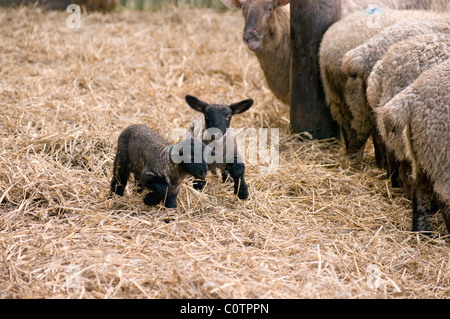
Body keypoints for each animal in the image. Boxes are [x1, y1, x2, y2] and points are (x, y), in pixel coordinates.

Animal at [376, 60, 450, 235]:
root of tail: (412, 96)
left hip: (424, 151)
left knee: (420, 189)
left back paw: (421, 233)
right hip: (442, 152)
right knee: (442, 198)